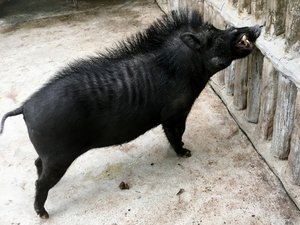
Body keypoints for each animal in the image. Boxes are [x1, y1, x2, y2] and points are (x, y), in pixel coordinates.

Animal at [0, 9, 260, 218]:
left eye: (216, 28)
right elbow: (176, 133)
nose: (256, 27)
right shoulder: (175, 112)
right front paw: (186, 153)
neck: (185, 68)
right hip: (58, 156)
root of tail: (25, 107)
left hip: (49, 155)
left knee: (37, 163)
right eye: (215, 37)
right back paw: (43, 214)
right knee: (40, 183)